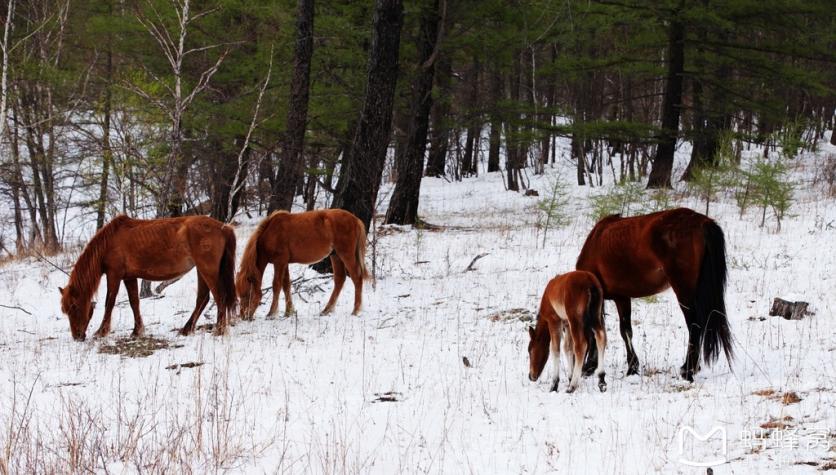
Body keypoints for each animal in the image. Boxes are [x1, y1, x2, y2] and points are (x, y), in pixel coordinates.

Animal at [59, 216, 237, 342]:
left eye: (74, 307)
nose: (77, 336)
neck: (110, 242)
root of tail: (224, 228)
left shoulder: (114, 274)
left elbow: (109, 302)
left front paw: (101, 332)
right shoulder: (129, 277)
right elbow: (134, 303)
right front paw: (137, 331)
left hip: (208, 270)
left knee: (219, 297)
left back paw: (219, 330)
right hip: (202, 270)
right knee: (203, 298)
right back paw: (187, 329)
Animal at [233, 209, 368, 318]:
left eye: (248, 294)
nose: (244, 316)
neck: (271, 234)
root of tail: (355, 219)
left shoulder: (279, 262)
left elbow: (276, 285)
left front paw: (271, 313)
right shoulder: (284, 263)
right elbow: (286, 285)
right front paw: (289, 312)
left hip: (346, 255)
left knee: (357, 278)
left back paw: (355, 310)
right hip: (335, 256)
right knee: (340, 279)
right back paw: (326, 310)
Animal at [576, 208, 732, 384]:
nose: (583, 369)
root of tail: (702, 221)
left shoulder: (619, 298)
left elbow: (622, 332)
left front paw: (631, 367)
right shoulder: (622, 298)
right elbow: (623, 330)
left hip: (684, 292)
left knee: (694, 326)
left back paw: (688, 370)